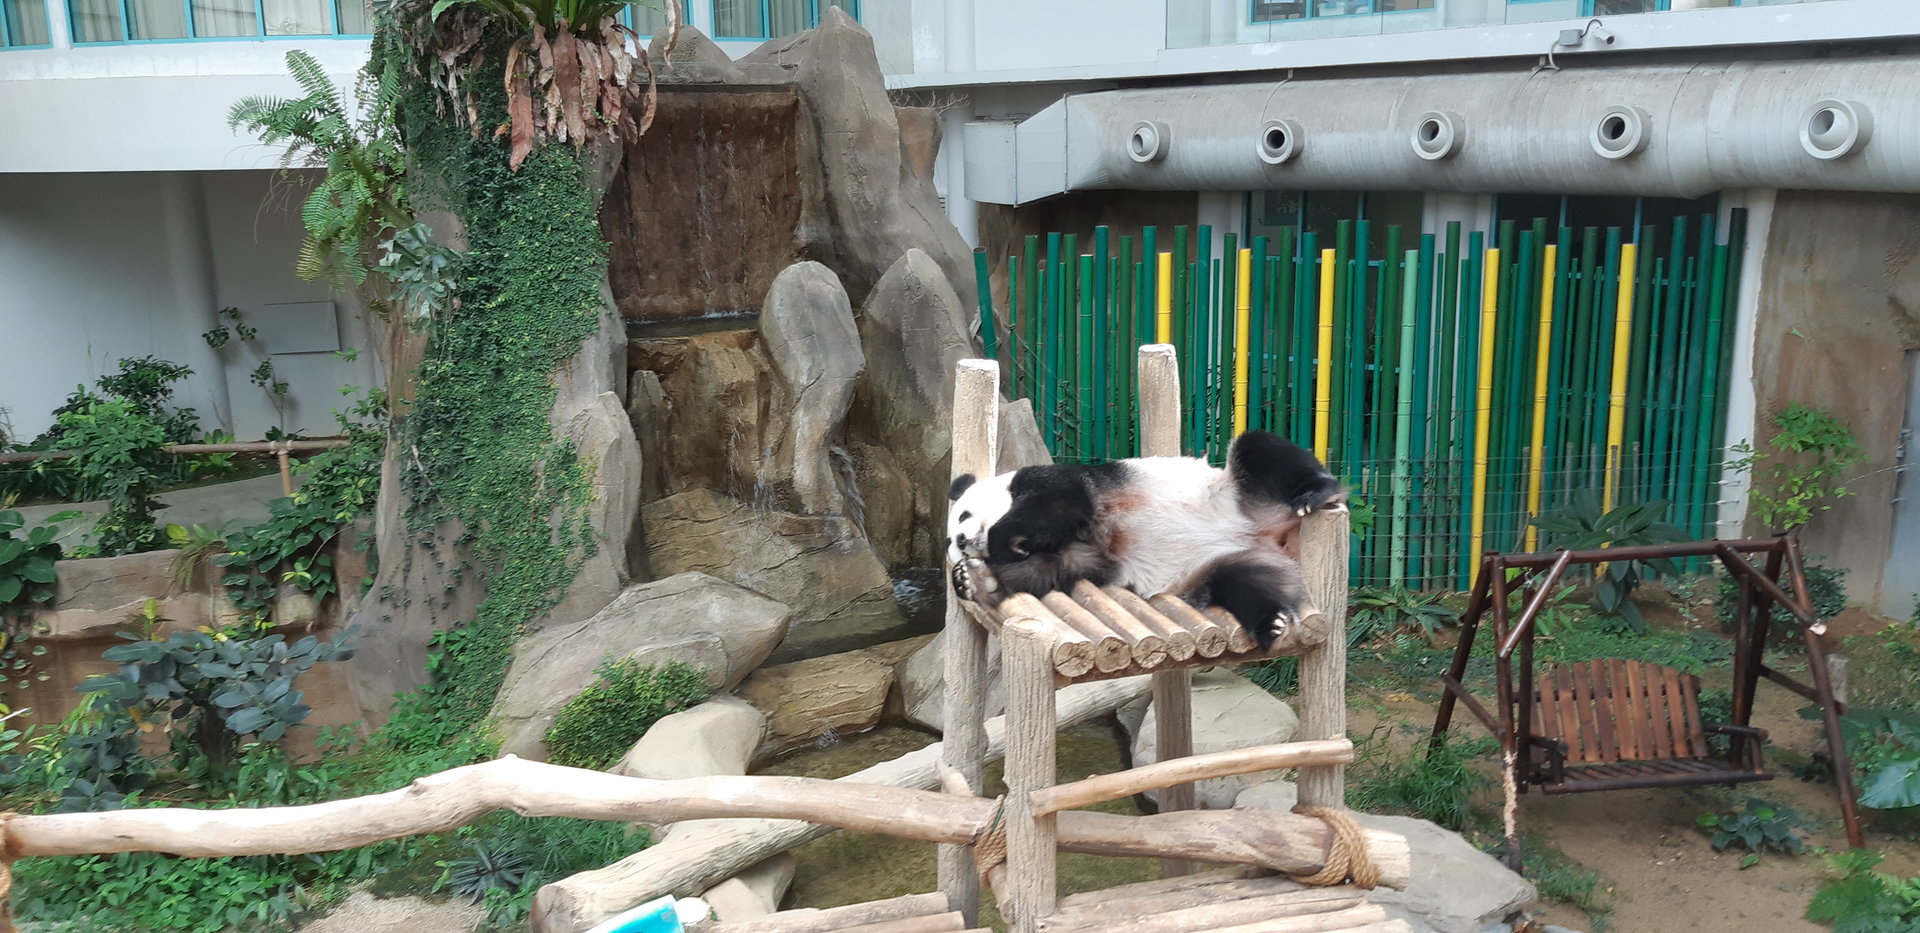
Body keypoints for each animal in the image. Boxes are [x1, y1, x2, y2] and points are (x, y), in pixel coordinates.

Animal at [945, 430, 1345, 650]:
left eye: (962, 516)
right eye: (949, 541)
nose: (962, 541)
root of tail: (1272, 534)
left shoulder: (1061, 483)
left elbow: (1057, 503)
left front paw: (1003, 541)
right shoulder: (1087, 559)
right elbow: (1051, 571)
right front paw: (972, 580)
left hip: (1241, 491)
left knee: (1260, 450)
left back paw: (1314, 492)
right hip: (1227, 561)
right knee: (1248, 580)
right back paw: (1270, 621)